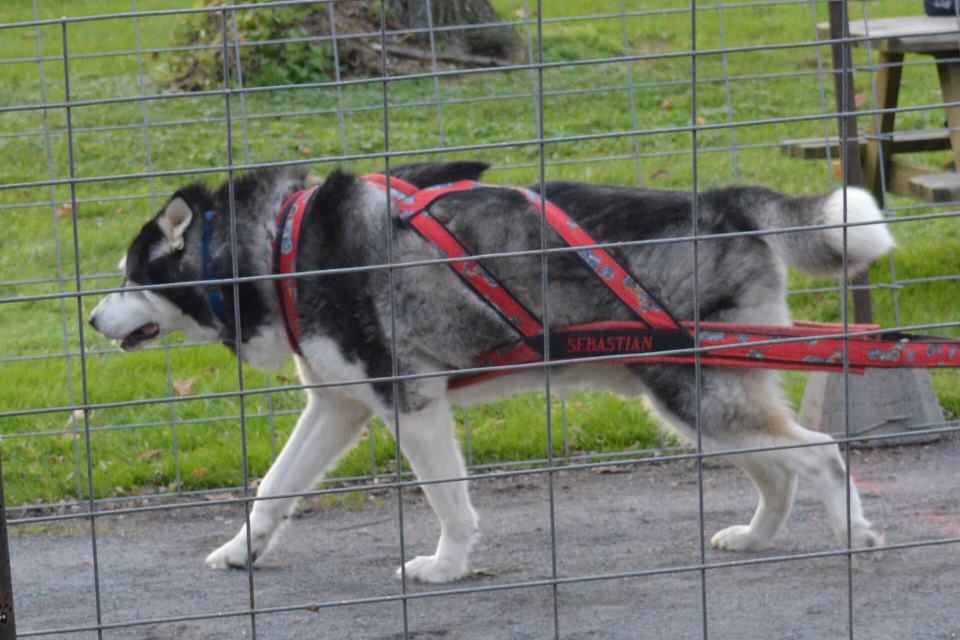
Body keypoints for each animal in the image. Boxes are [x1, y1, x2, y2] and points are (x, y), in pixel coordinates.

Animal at [88, 162, 892, 584]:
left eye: (129, 277)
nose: (92, 320)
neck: (282, 245)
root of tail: (723, 201)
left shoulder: (411, 404)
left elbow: (449, 502)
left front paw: (445, 566)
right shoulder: (338, 407)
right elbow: (273, 490)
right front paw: (241, 550)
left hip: (696, 398)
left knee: (820, 454)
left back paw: (852, 532)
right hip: (696, 404)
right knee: (780, 471)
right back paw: (755, 538)